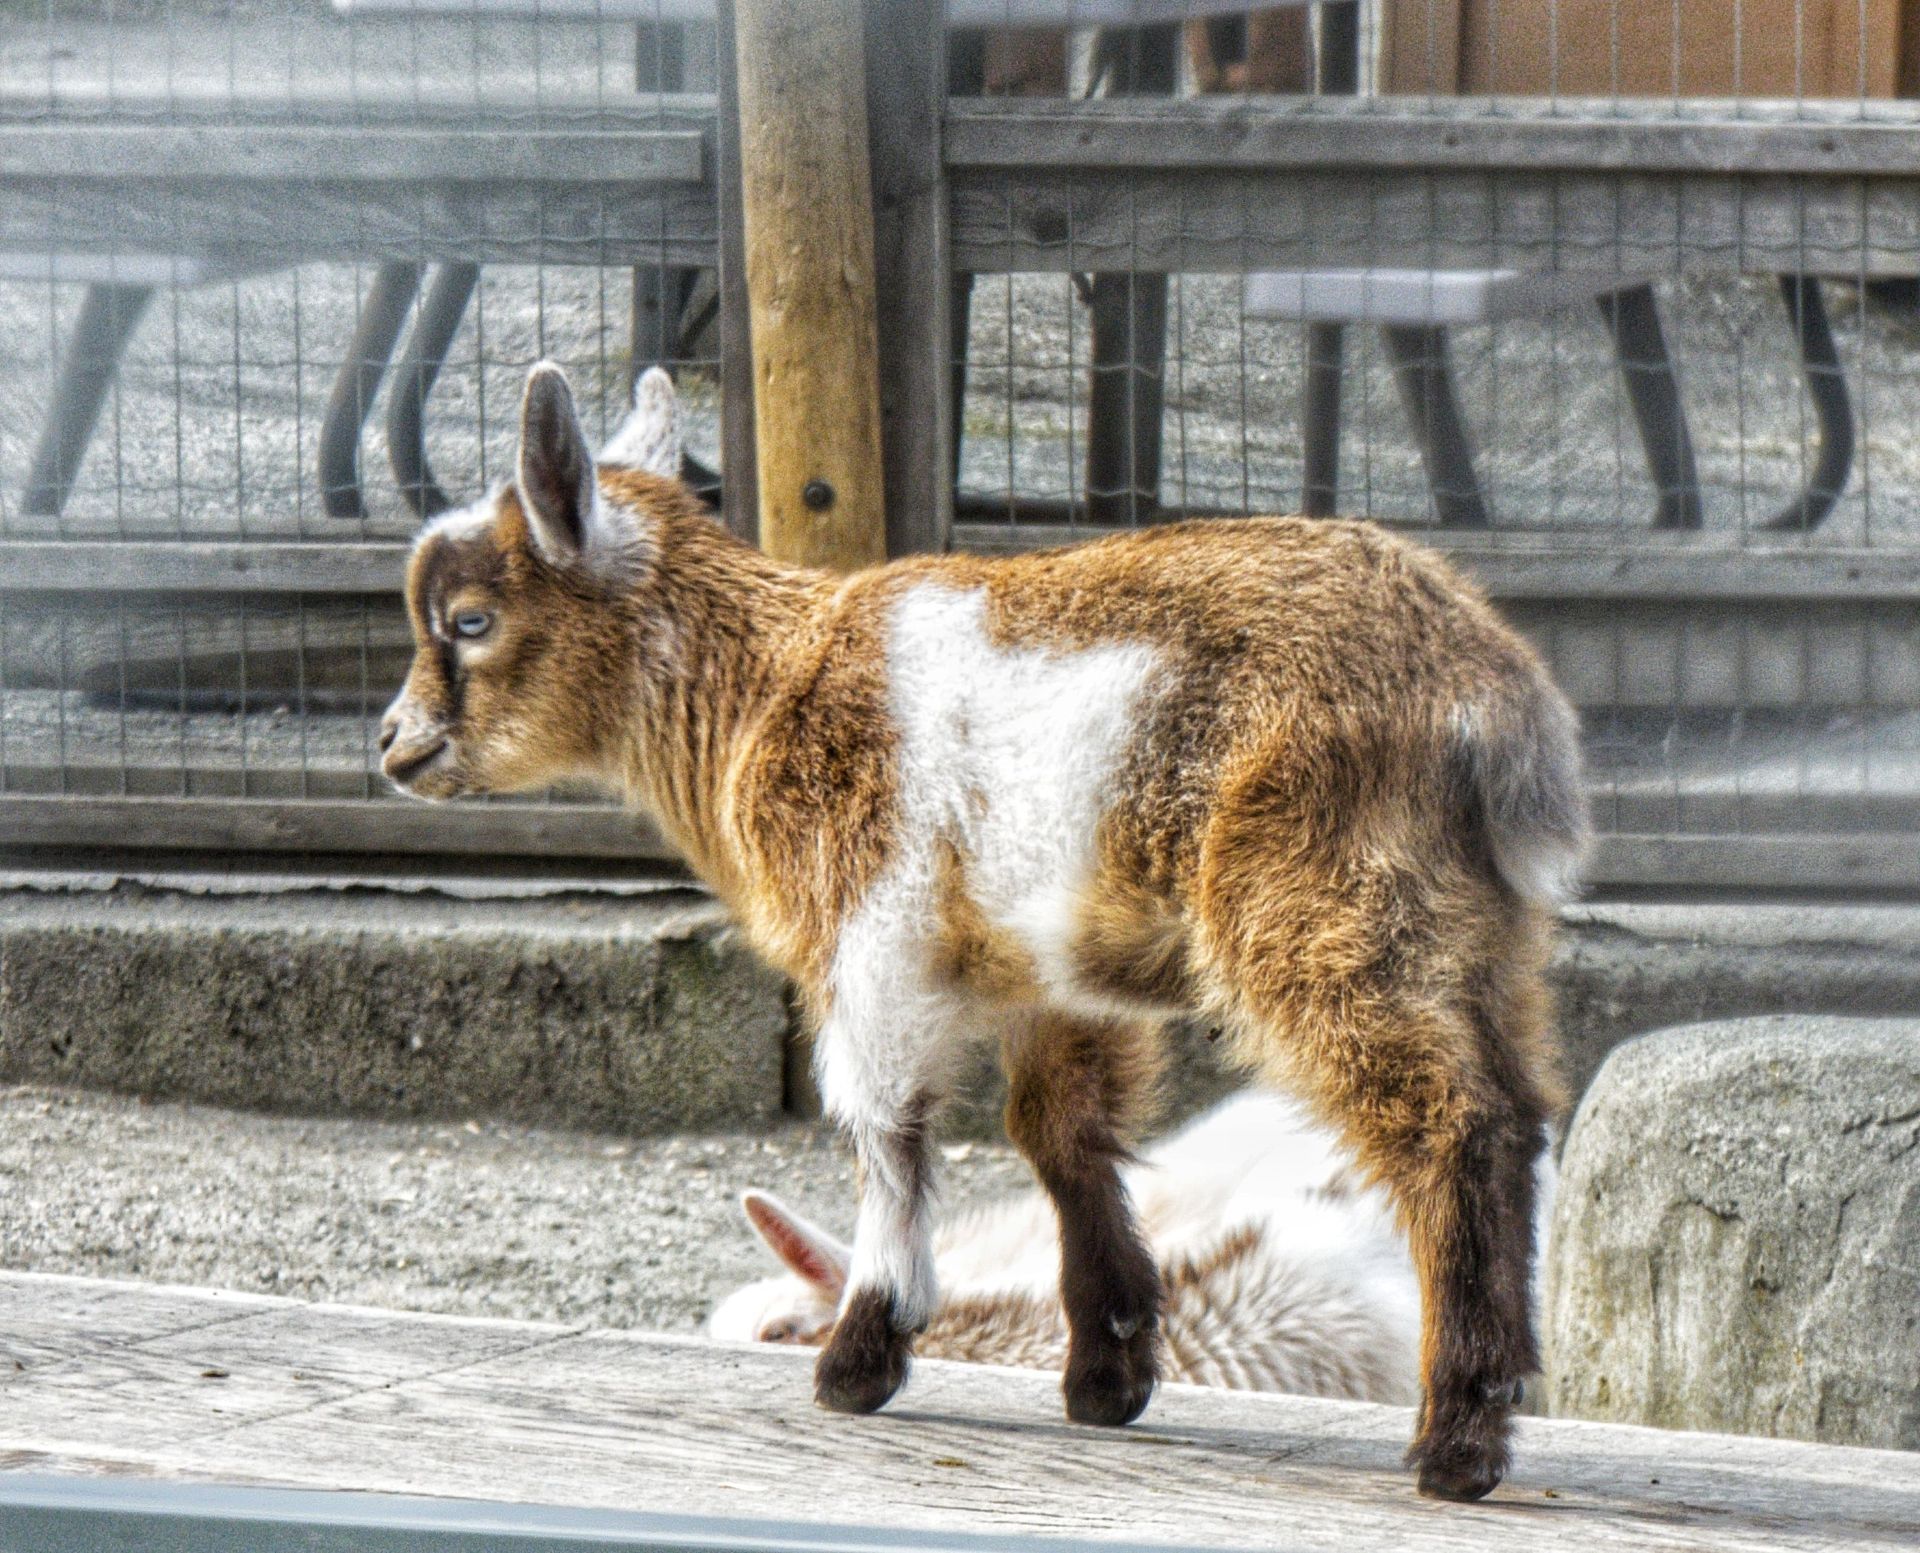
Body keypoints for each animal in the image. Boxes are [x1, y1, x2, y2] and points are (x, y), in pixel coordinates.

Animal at [382, 361, 1588, 1500]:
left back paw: (1457, 1440)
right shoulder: (1046, 977)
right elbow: (1061, 1132)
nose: (392, 745)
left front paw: (861, 1357)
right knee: (1521, 1112)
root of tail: (1492, 697)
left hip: (1325, 900)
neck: (765, 687)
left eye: (471, 621)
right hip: (1475, 930)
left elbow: (888, 1132)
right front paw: (1107, 1372)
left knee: (1448, 1124)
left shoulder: (873, 939)